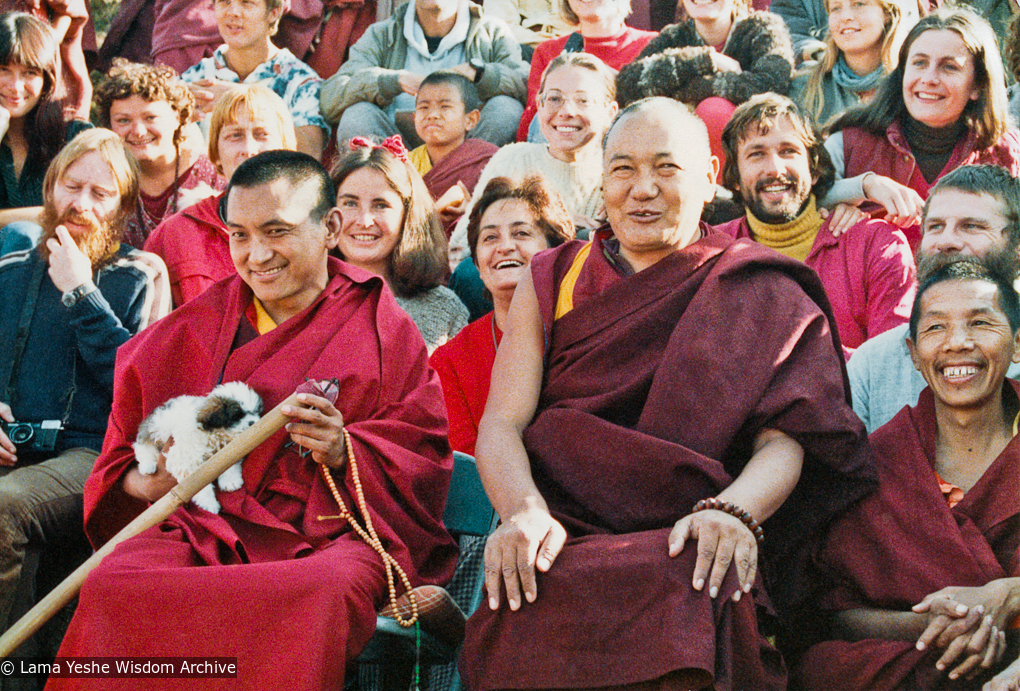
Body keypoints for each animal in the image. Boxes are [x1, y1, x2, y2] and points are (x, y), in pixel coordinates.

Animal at [134, 381, 263, 512]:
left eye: (256, 412)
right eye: (237, 415)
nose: (253, 422)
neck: (213, 433)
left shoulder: (232, 447)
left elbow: (229, 463)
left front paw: (230, 481)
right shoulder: (186, 460)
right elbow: (199, 485)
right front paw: (210, 503)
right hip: (150, 435)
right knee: (144, 450)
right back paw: (148, 466)